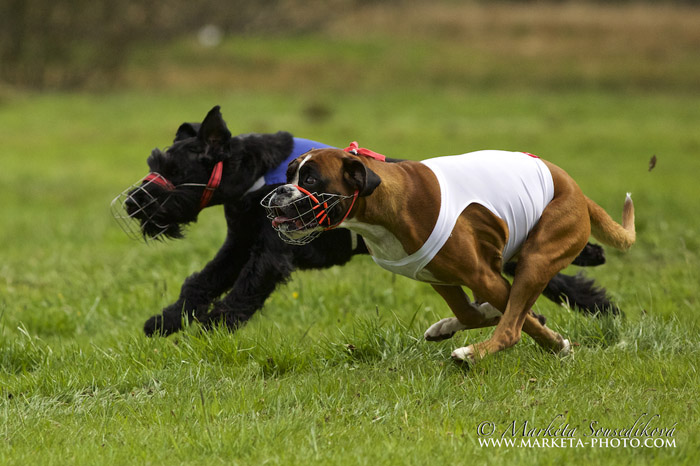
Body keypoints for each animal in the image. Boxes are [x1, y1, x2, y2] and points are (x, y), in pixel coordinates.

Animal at [113, 106, 616, 334]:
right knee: (555, 281)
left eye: (172, 169)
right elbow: (201, 280)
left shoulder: (271, 251)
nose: (134, 203)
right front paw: (166, 321)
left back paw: (601, 304)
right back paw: (603, 308)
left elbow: (245, 287)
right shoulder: (238, 243)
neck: (255, 175)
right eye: (154, 161)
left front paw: (217, 322)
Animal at [262, 146, 636, 364]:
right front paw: (468, 319)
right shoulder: (439, 278)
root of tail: (575, 189)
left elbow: (518, 319)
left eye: (311, 179)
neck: (386, 203)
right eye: (289, 175)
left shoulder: (482, 275)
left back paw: (472, 353)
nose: (279, 191)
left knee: (512, 327)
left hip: (536, 258)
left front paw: (556, 343)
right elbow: (472, 313)